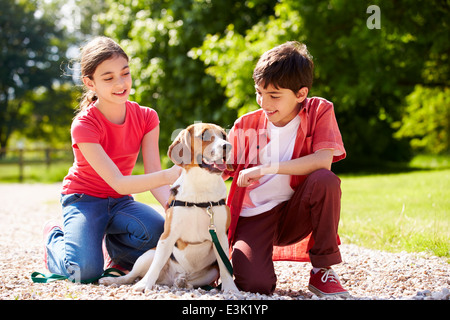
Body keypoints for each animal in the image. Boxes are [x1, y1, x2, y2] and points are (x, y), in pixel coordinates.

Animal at [98, 122, 239, 292]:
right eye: (204, 135)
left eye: (223, 136)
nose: (228, 146)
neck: (201, 185)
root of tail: (166, 280)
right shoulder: (167, 236)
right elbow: (156, 264)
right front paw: (144, 285)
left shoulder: (221, 237)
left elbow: (225, 267)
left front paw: (231, 289)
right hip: (147, 255)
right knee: (131, 275)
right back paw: (112, 280)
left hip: (211, 272)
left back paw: (182, 281)